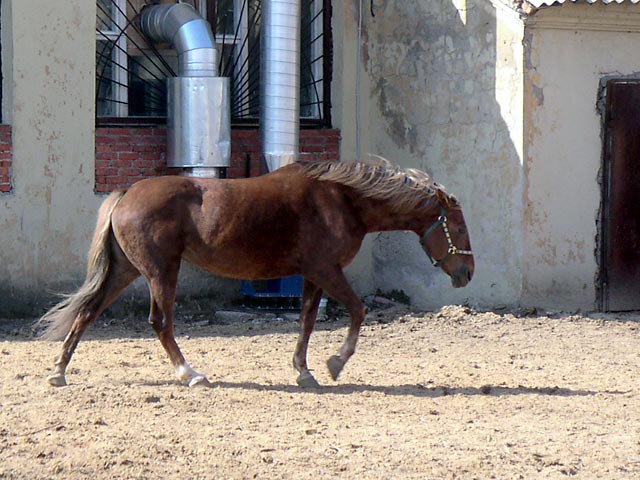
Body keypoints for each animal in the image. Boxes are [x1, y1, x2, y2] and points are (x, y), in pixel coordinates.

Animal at [37, 159, 472, 388]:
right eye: (458, 225)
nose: (467, 273)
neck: (342, 200)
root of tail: (126, 194)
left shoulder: (313, 274)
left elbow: (307, 320)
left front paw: (304, 372)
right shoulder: (326, 270)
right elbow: (358, 311)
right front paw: (335, 363)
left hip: (126, 270)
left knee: (87, 312)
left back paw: (59, 372)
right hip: (161, 272)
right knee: (160, 322)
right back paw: (190, 373)